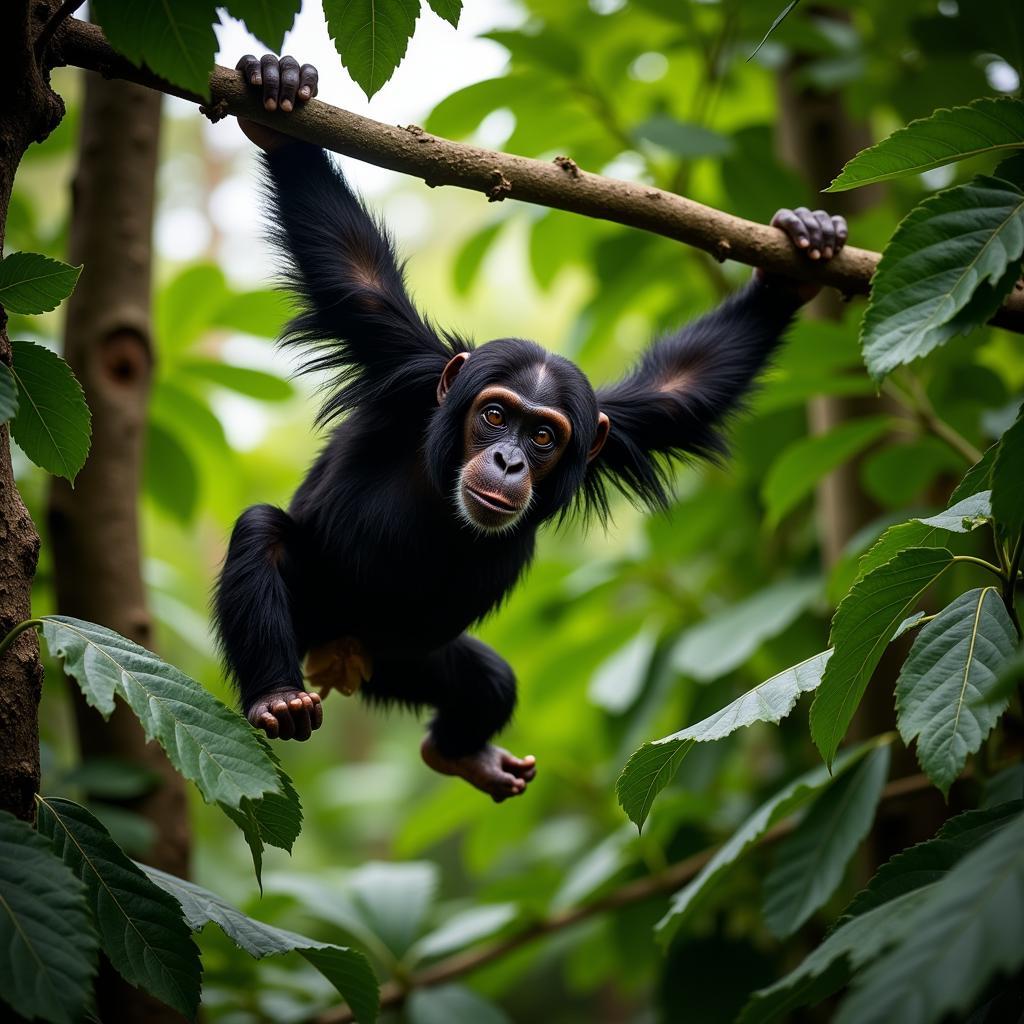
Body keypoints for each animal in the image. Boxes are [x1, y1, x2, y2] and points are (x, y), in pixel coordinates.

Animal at [216, 54, 847, 798]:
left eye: (543, 436)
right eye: (494, 416)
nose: (510, 461)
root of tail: (335, 656)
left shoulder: (615, 426)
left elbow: (684, 384)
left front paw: (797, 262)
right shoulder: (404, 365)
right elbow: (350, 267)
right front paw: (278, 99)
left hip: (408, 662)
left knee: (488, 680)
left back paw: (464, 754)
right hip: (317, 616)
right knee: (262, 533)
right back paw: (277, 697)